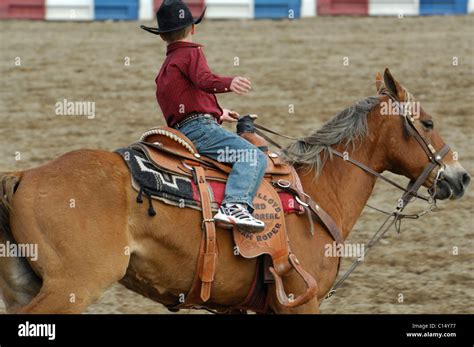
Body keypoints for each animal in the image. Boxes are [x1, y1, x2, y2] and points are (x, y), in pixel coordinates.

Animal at [0, 69, 470, 314]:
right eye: (427, 122)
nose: (460, 176)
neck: (316, 194)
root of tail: (24, 175)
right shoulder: (300, 303)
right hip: (69, 288)